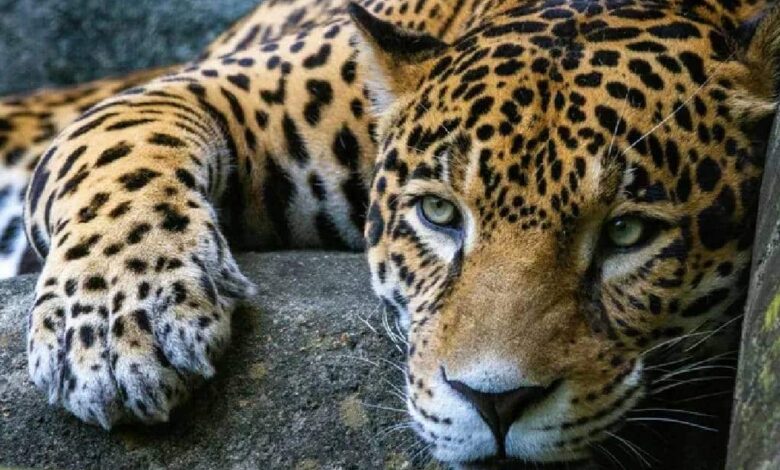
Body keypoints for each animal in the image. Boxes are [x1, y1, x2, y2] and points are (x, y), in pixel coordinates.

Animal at [1, 0, 778, 467]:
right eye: (439, 214)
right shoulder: (220, 88)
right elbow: (121, 147)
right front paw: (113, 333)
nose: (496, 403)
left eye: (626, 232)